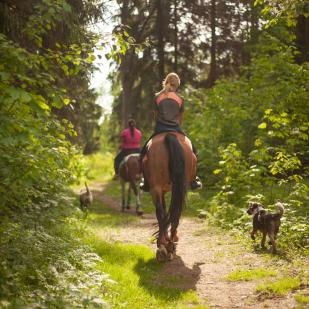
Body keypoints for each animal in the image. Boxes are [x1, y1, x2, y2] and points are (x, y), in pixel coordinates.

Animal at [142, 132, 195, 260]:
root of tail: (169, 135)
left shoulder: (162, 190)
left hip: (157, 188)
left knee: (162, 214)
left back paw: (163, 245)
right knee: (173, 214)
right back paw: (168, 245)